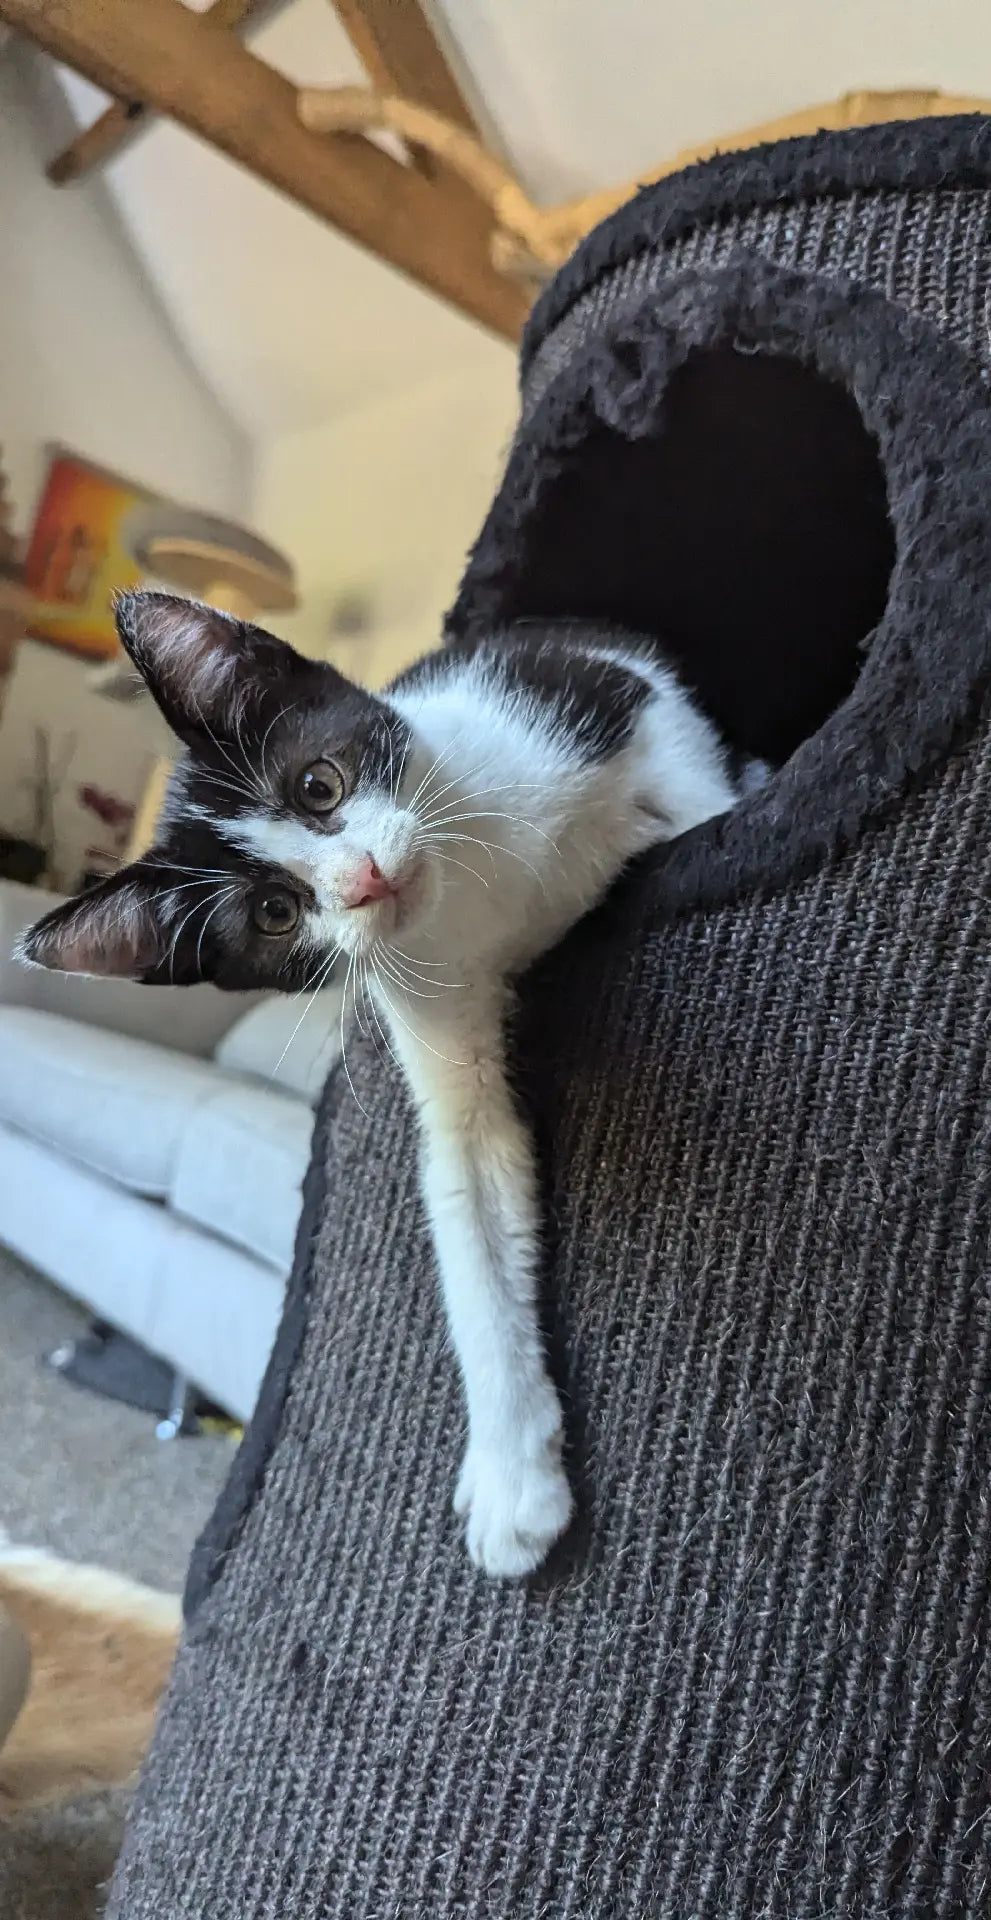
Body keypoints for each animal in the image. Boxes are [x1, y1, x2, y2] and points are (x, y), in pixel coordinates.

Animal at [19, 595, 768, 1574]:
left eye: (319, 786)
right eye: (273, 913)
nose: (365, 881)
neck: (486, 891)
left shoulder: (592, 689)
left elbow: (686, 774)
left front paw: (726, 805)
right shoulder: (427, 996)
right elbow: (468, 1186)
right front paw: (512, 1480)